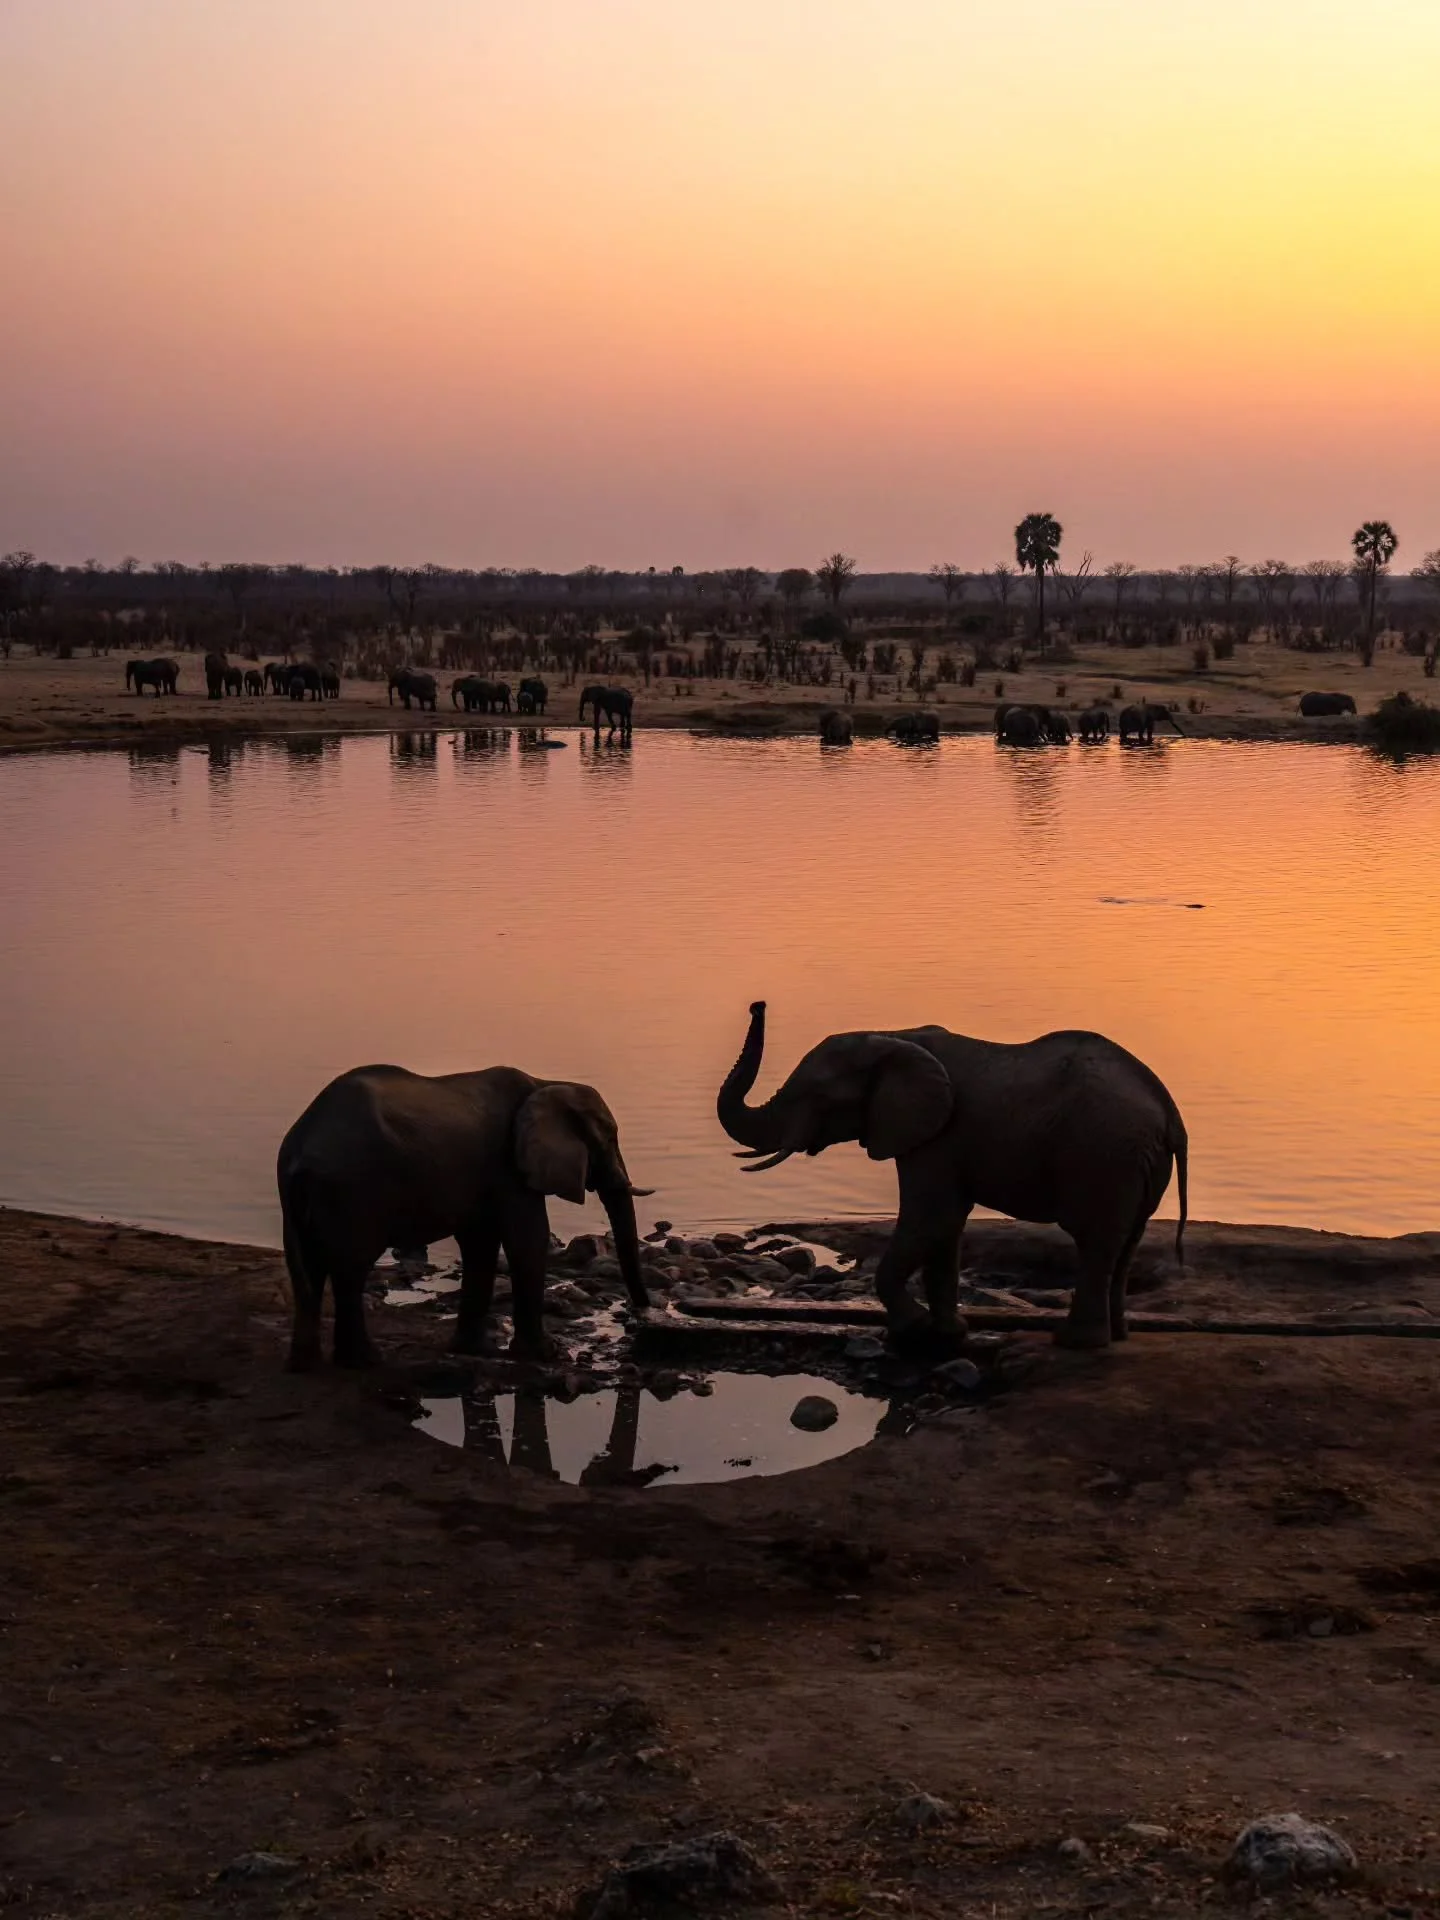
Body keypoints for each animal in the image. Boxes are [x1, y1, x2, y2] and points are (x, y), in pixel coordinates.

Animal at [277, 1064, 653, 1369]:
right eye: (609, 1139)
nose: (643, 1316)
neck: (546, 1082)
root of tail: (299, 1145)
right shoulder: (508, 1167)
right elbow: (527, 1238)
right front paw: (547, 1354)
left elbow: (481, 1243)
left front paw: (475, 1350)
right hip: (351, 1190)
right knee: (350, 1270)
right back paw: (364, 1361)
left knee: (309, 1268)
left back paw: (306, 1365)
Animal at [717, 1000, 1187, 1352]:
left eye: (818, 1096)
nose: (758, 1004)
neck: (890, 1035)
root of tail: (1169, 1113)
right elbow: (946, 1226)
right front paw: (947, 1334)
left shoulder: (937, 1136)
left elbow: (932, 1218)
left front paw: (912, 1329)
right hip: (1132, 1162)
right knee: (1126, 1241)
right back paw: (1117, 1336)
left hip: (1103, 1155)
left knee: (1096, 1239)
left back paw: (1074, 1342)